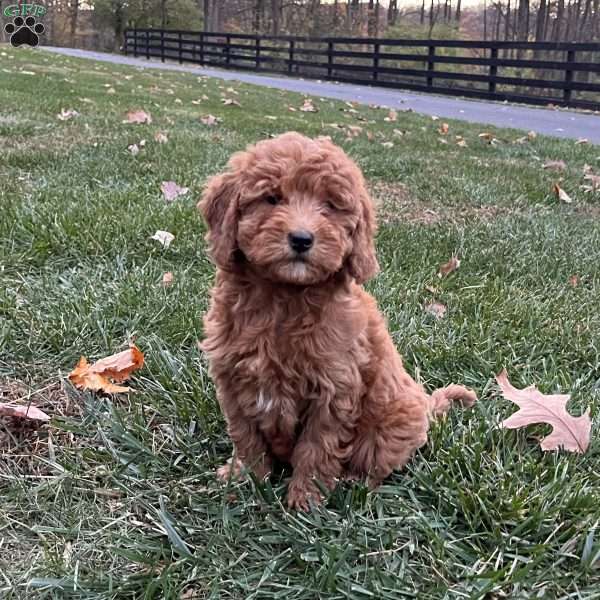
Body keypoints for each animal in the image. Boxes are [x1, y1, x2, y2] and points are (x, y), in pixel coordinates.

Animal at [199, 132, 476, 510]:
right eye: (271, 198)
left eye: (329, 205)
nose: (301, 238)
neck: (283, 298)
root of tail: (424, 402)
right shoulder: (232, 379)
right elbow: (246, 436)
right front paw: (245, 479)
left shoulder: (334, 389)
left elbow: (317, 448)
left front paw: (305, 500)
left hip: (394, 422)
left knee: (377, 465)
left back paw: (352, 483)